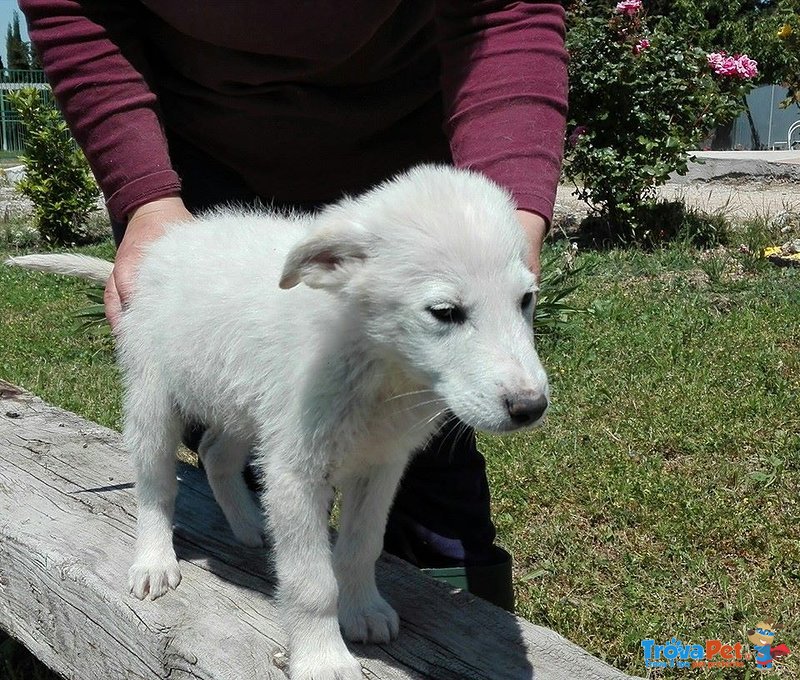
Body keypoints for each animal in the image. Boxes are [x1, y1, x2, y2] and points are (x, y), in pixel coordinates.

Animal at [9, 166, 552, 680]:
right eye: (444, 311)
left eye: (526, 299)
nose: (531, 407)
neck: (378, 365)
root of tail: (163, 252)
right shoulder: (296, 472)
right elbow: (312, 583)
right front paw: (323, 659)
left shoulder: (380, 464)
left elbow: (361, 547)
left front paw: (362, 610)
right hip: (153, 398)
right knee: (155, 487)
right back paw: (155, 560)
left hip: (242, 404)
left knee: (213, 453)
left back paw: (251, 524)